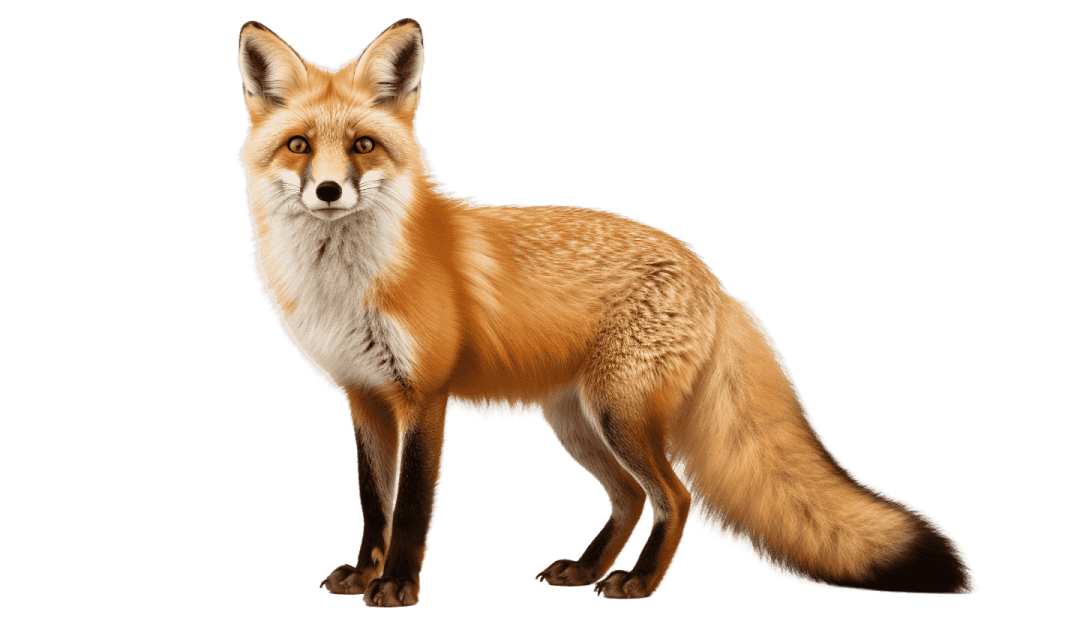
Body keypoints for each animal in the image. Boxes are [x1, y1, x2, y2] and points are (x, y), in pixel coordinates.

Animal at [236, 18, 977, 607]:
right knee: (628, 498)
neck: (346, 283)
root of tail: (713, 278)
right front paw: (366, 574)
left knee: (673, 497)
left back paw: (638, 583)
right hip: (579, 423)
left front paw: (396, 587)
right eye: (300, 146)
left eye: (363, 146)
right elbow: (373, 503)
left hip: (619, 416)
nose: (329, 191)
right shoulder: (363, 397)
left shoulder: (425, 395)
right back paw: (589, 571)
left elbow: (413, 507)